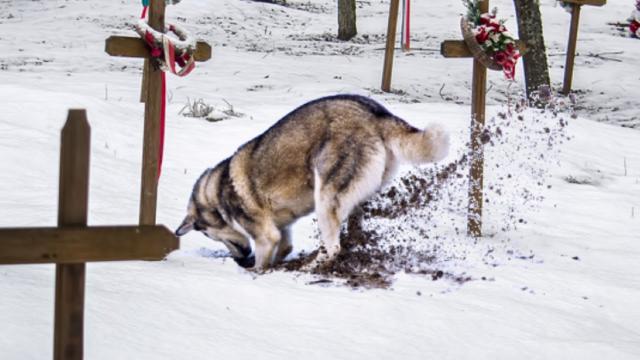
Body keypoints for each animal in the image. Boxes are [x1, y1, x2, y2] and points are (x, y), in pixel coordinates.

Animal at [172, 95, 448, 270]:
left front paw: (255, 272)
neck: (217, 193)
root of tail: (376, 113)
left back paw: (311, 267)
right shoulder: (280, 231)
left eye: (208, 235)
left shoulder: (265, 236)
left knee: (333, 248)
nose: (240, 260)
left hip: (325, 197)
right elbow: (283, 249)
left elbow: (262, 262)